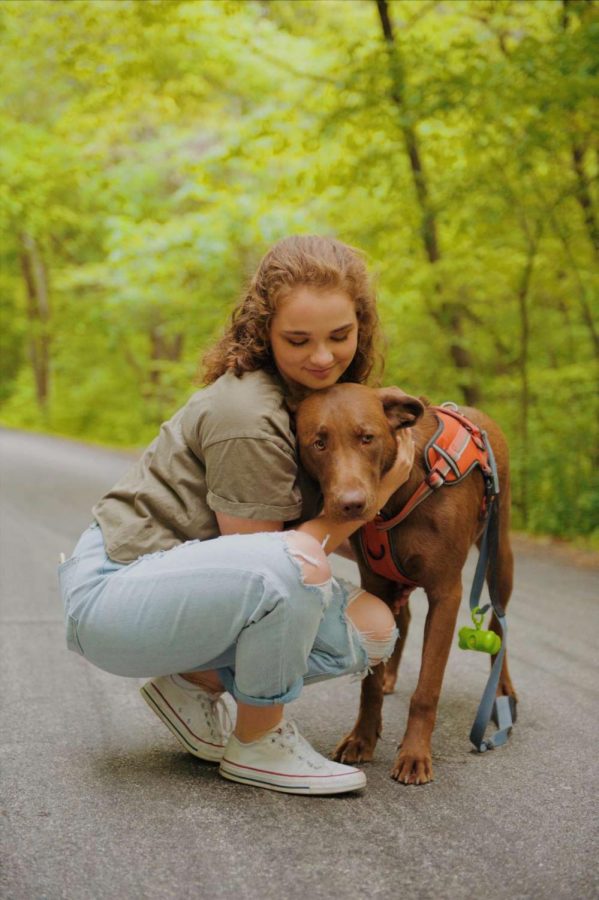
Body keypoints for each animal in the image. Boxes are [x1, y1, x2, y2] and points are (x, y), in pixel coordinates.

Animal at [296, 384, 516, 784]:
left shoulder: (446, 594)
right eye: (318, 444)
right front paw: (362, 738)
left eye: (367, 438)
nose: (351, 505)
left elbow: (426, 689)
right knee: (405, 621)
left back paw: (502, 688)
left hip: (499, 556)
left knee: (499, 622)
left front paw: (414, 755)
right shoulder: (376, 582)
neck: (405, 491)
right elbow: (369, 683)